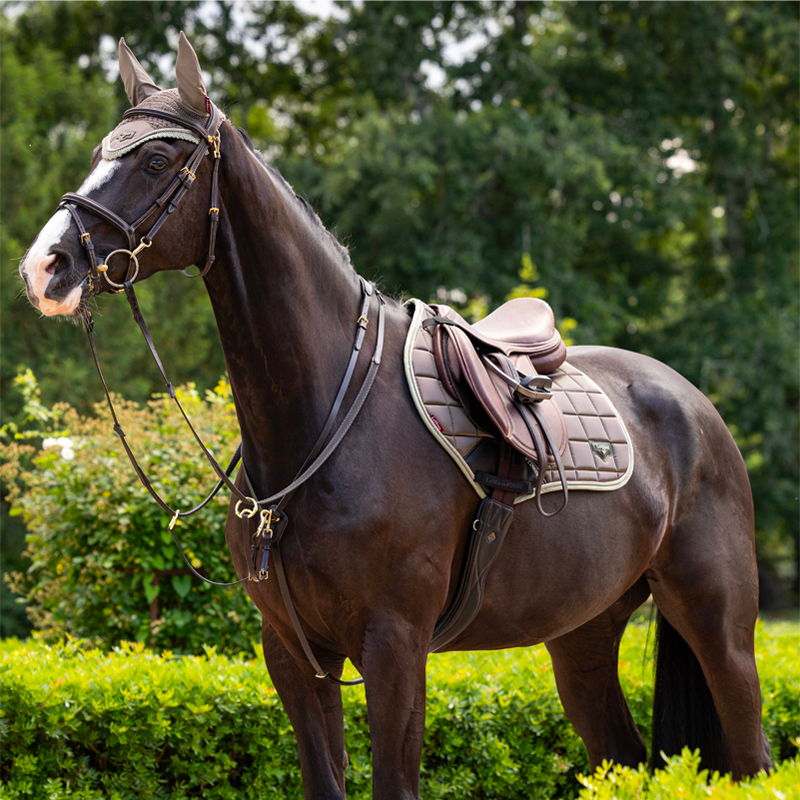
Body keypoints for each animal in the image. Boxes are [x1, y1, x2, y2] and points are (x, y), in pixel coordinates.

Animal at [17, 34, 768, 796]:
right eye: (98, 152)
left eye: (156, 161)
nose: (44, 265)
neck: (322, 422)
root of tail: (692, 403)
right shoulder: (292, 653)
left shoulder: (395, 647)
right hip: (582, 632)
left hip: (721, 627)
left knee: (754, 753)